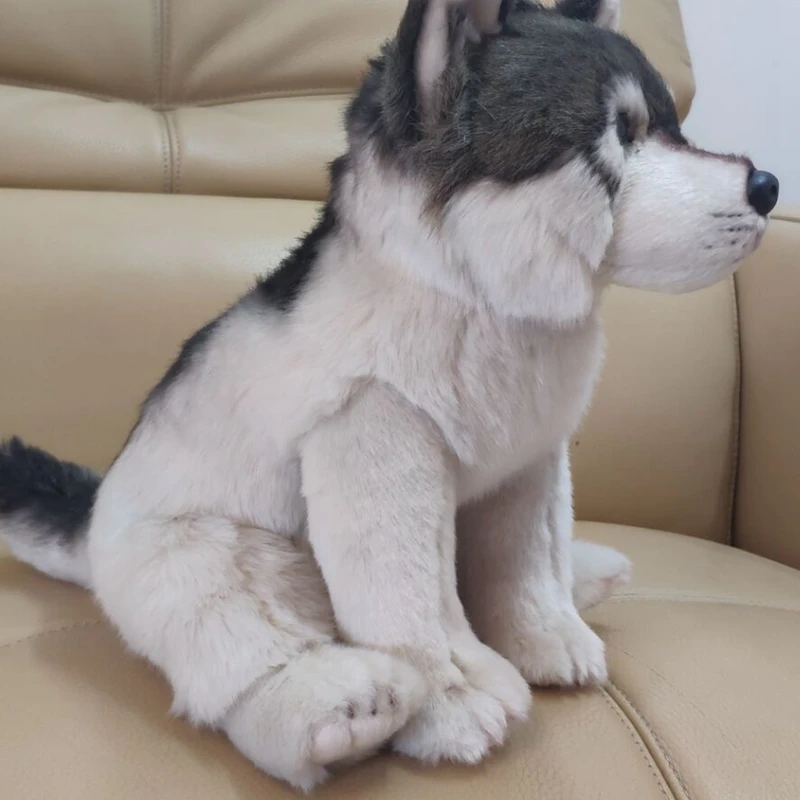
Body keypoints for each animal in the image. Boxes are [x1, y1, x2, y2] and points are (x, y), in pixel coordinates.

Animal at [0, 0, 778, 791]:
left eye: (672, 125)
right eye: (620, 133)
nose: (769, 187)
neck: (473, 299)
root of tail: (94, 514)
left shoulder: (529, 463)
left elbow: (526, 561)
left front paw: (547, 634)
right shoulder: (380, 450)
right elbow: (410, 599)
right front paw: (450, 702)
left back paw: (586, 577)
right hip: (208, 555)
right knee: (244, 654)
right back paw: (341, 712)